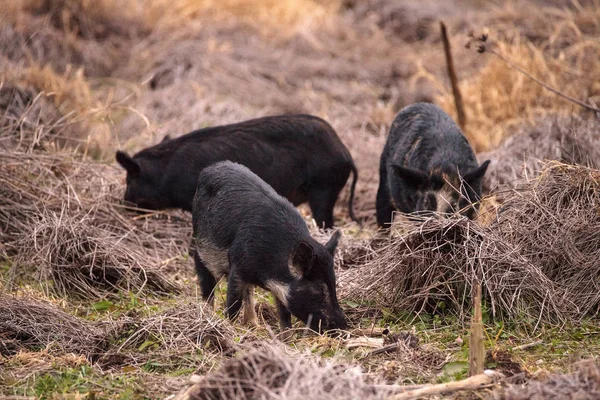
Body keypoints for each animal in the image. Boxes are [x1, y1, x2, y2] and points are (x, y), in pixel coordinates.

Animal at [192, 161, 346, 332]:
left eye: (333, 283)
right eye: (319, 289)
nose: (343, 325)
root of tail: (211, 168)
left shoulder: (281, 288)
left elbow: (284, 317)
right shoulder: (238, 264)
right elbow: (233, 304)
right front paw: (230, 328)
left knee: (248, 291)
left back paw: (254, 324)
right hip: (202, 246)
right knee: (206, 282)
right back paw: (207, 315)